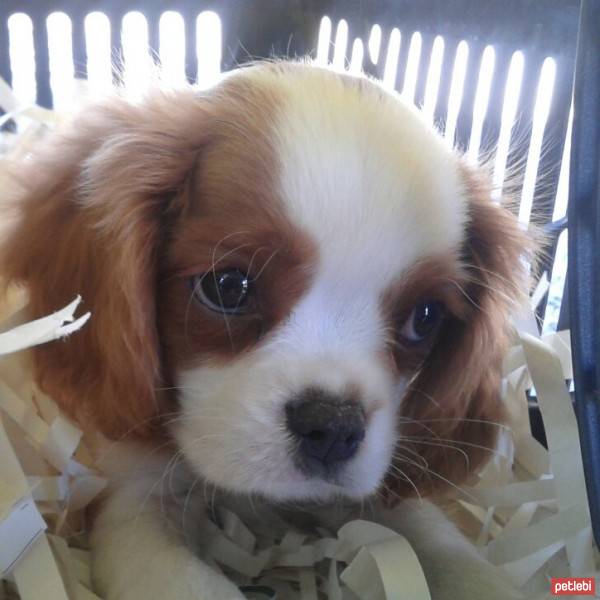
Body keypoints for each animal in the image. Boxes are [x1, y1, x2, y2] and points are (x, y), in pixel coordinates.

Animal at [2, 63, 528, 596]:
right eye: (227, 286)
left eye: (424, 317)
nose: (333, 426)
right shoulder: (132, 502)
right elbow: (193, 581)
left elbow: (444, 543)